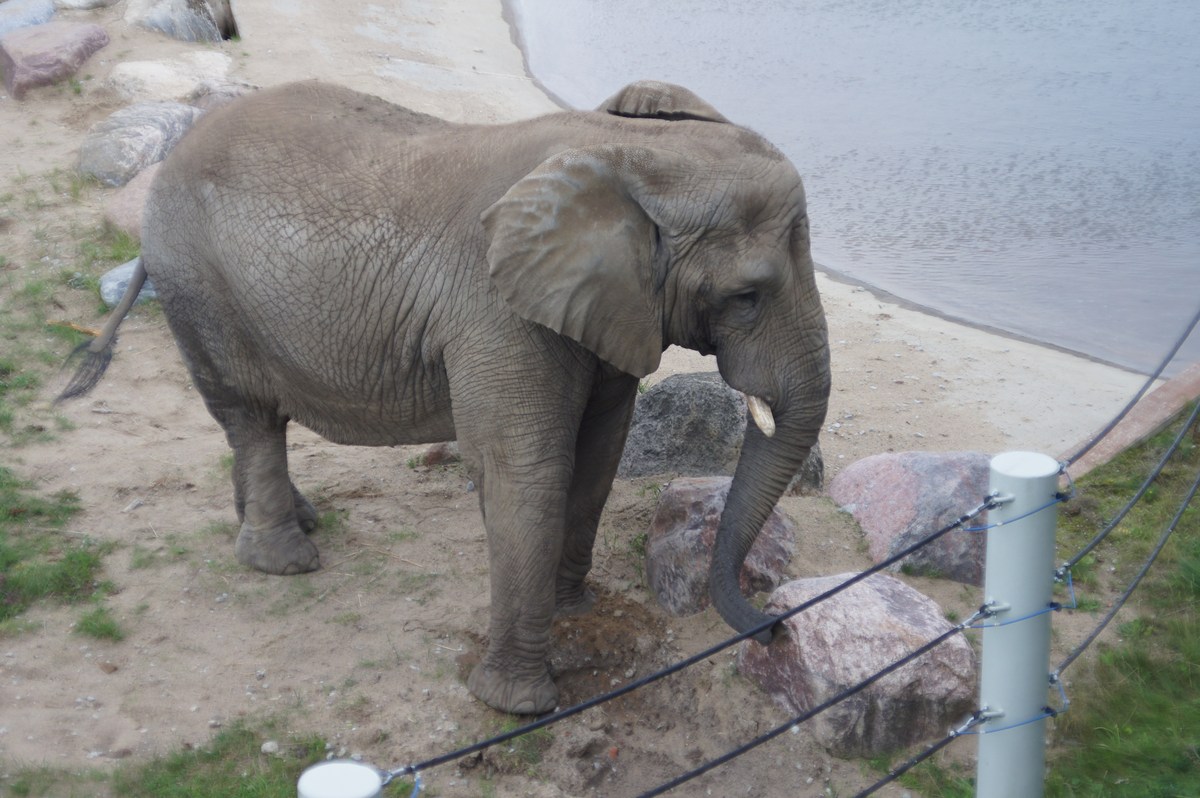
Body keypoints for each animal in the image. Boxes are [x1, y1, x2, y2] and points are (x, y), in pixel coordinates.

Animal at [60, 79, 831, 715]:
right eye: (747, 296)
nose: (775, 631)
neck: (632, 151)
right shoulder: (495, 310)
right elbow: (524, 469)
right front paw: (516, 707)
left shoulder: (609, 306)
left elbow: (599, 452)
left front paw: (573, 608)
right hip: (198, 283)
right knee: (250, 415)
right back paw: (285, 560)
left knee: (250, 422)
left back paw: (291, 524)